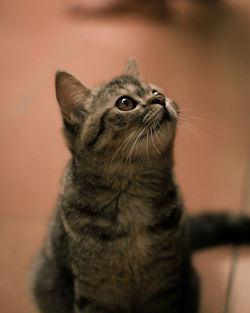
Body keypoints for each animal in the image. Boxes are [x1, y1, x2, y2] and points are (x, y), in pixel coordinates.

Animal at [30, 58, 250, 312]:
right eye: (125, 103)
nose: (160, 99)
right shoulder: (95, 293)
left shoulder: (164, 286)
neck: (133, 199)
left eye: (155, 91)